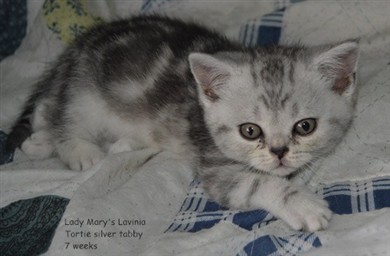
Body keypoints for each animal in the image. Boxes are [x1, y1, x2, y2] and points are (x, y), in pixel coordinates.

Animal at [6, 15, 360, 232]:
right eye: (250, 131)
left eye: (305, 127)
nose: (279, 152)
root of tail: (77, 48)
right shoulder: (216, 167)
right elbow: (260, 182)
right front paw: (304, 205)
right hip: (86, 92)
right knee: (64, 118)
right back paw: (78, 150)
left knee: (47, 109)